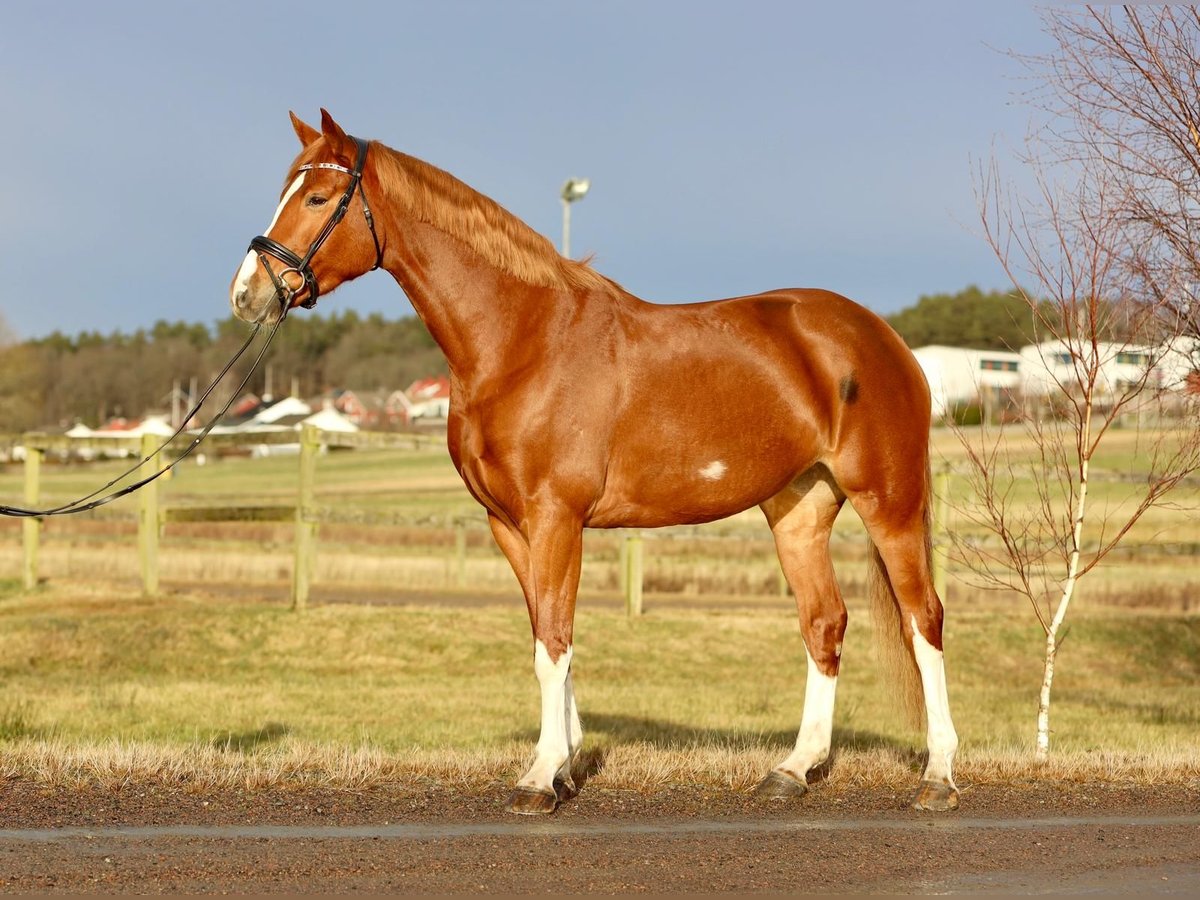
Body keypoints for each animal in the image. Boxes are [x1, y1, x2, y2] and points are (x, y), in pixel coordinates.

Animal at [231, 111, 955, 816]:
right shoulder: (510, 526)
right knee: (823, 622)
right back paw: (793, 770)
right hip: (799, 509)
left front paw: (539, 777)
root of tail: (882, 338)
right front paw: (564, 767)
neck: (521, 341)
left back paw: (938, 777)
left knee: (923, 618)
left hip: (889, 500)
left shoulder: (556, 518)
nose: (247, 294)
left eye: (319, 197)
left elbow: (554, 642)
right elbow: (546, 639)